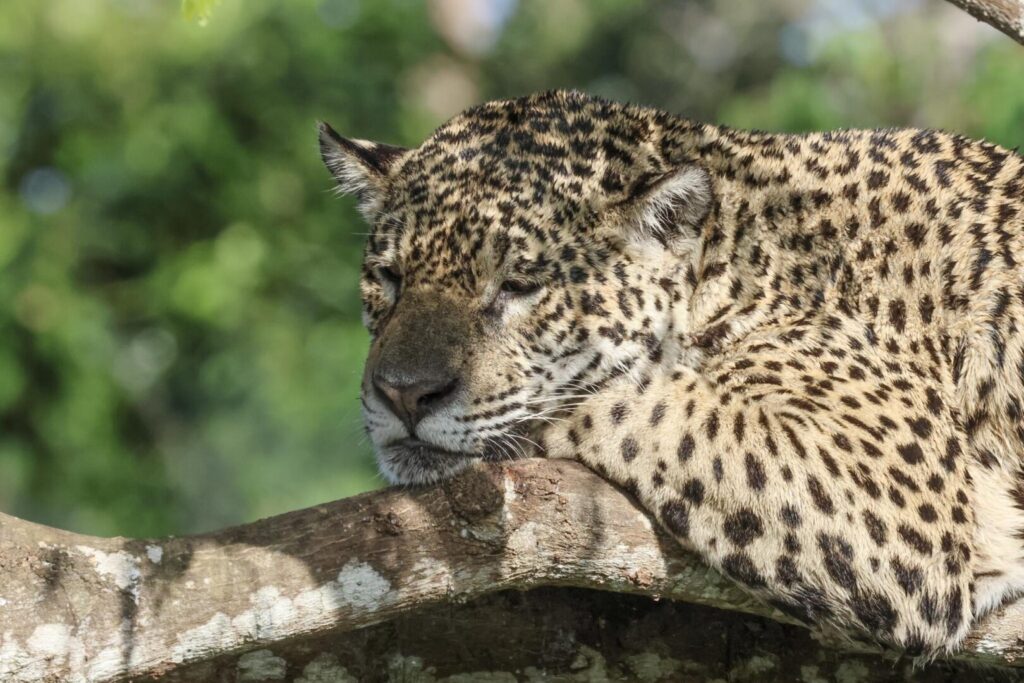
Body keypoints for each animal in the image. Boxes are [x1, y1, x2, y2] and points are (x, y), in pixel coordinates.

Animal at [317, 90, 1024, 656]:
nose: (404, 394)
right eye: (389, 277)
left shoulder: (892, 497)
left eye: (518, 286)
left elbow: (656, 407)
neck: (737, 257)